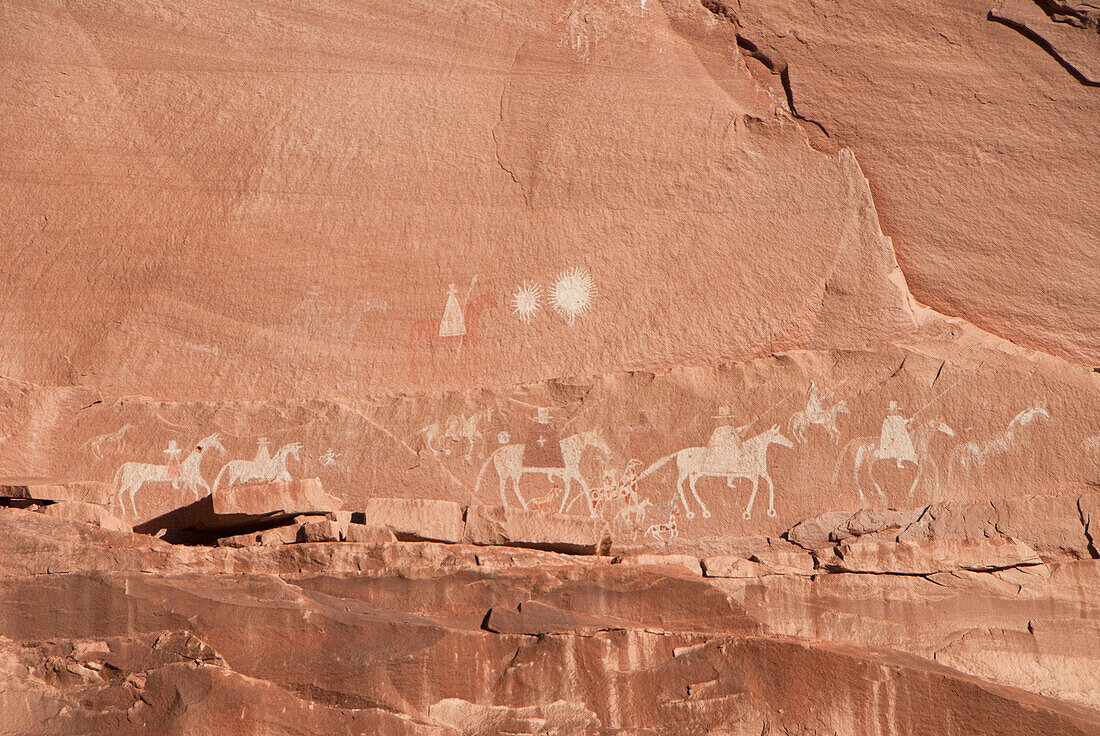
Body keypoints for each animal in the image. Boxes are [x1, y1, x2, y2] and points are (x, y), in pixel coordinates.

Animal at [473, 424, 611, 517]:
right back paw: (520, 507)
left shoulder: (569, 475)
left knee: (506, 487)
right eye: (599, 439)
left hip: (508, 473)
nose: (609, 451)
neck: (570, 449)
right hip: (512, 472)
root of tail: (497, 451)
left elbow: (577, 488)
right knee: (509, 487)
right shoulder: (569, 474)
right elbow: (578, 487)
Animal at [642, 422, 796, 519]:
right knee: (680, 485)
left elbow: (769, 483)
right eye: (777, 434)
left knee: (691, 485)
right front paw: (747, 513)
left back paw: (704, 511)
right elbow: (758, 487)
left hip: (695, 473)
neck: (753, 451)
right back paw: (691, 512)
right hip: (685, 472)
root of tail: (679, 452)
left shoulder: (759, 473)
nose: (791, 444)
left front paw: (770, 510)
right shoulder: (752, 474)